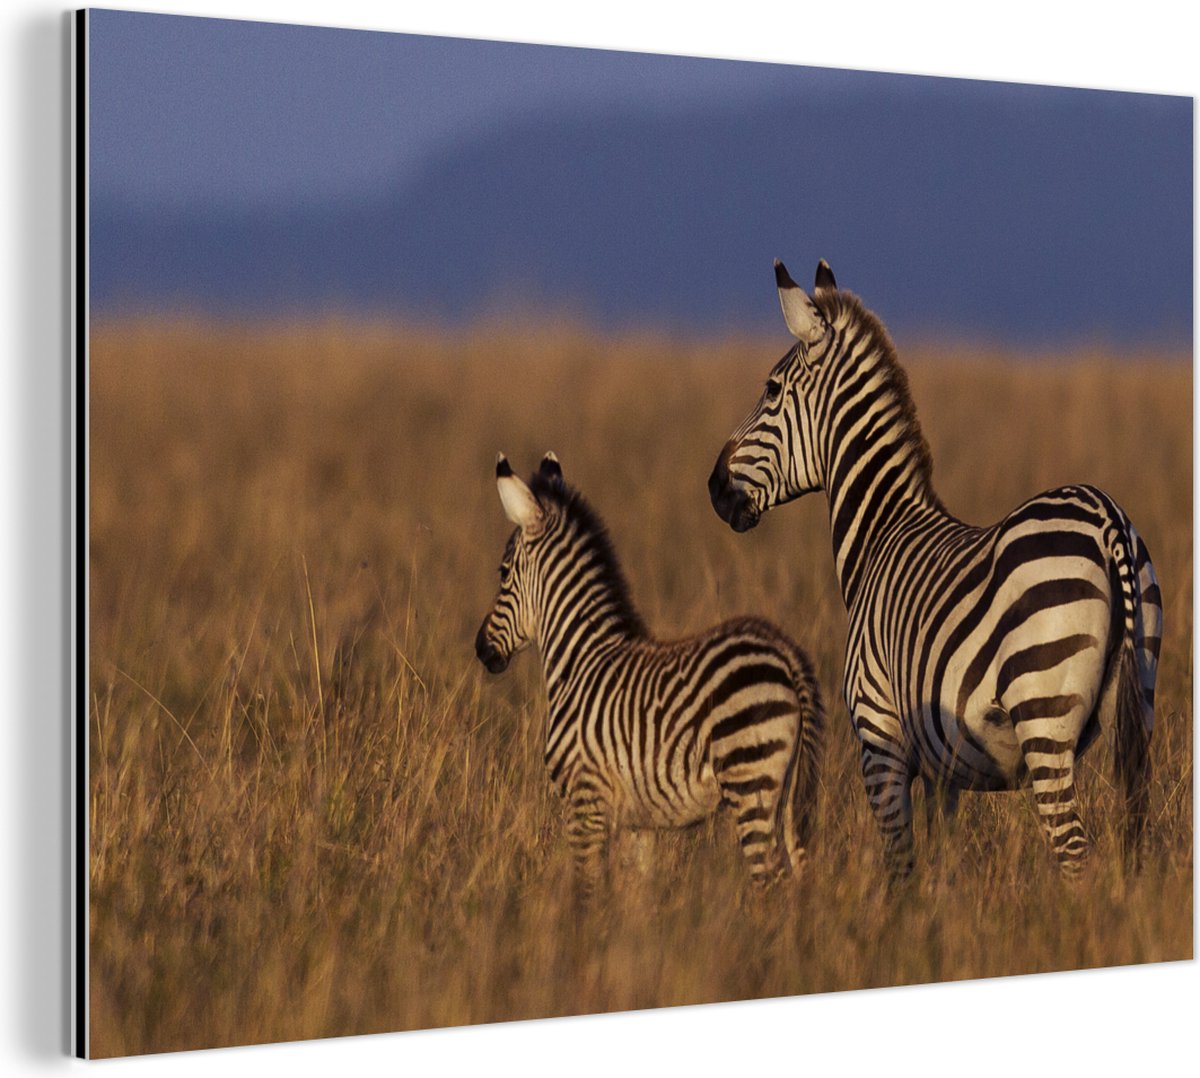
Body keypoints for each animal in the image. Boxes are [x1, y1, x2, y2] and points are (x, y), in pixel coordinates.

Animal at [474, 452, 825, 899]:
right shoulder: (639, 823)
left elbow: (587, 889)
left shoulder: (585, 798)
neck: (580, 658)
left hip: (750, 782)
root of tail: (786, 654)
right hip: (786, 792)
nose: (480, 649)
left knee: (769, 882)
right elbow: (637, 895)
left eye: (503, 573)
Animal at [708, 258, 1161, 881]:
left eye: (771, 390)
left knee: (1074, 855)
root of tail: (1106, 518)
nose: (714, 488)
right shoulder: (944, 769)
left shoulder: (880, 741)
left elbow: (901, 869)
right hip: (1139, 697)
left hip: (1043, 721)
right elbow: (939, 868)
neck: (881, 533)